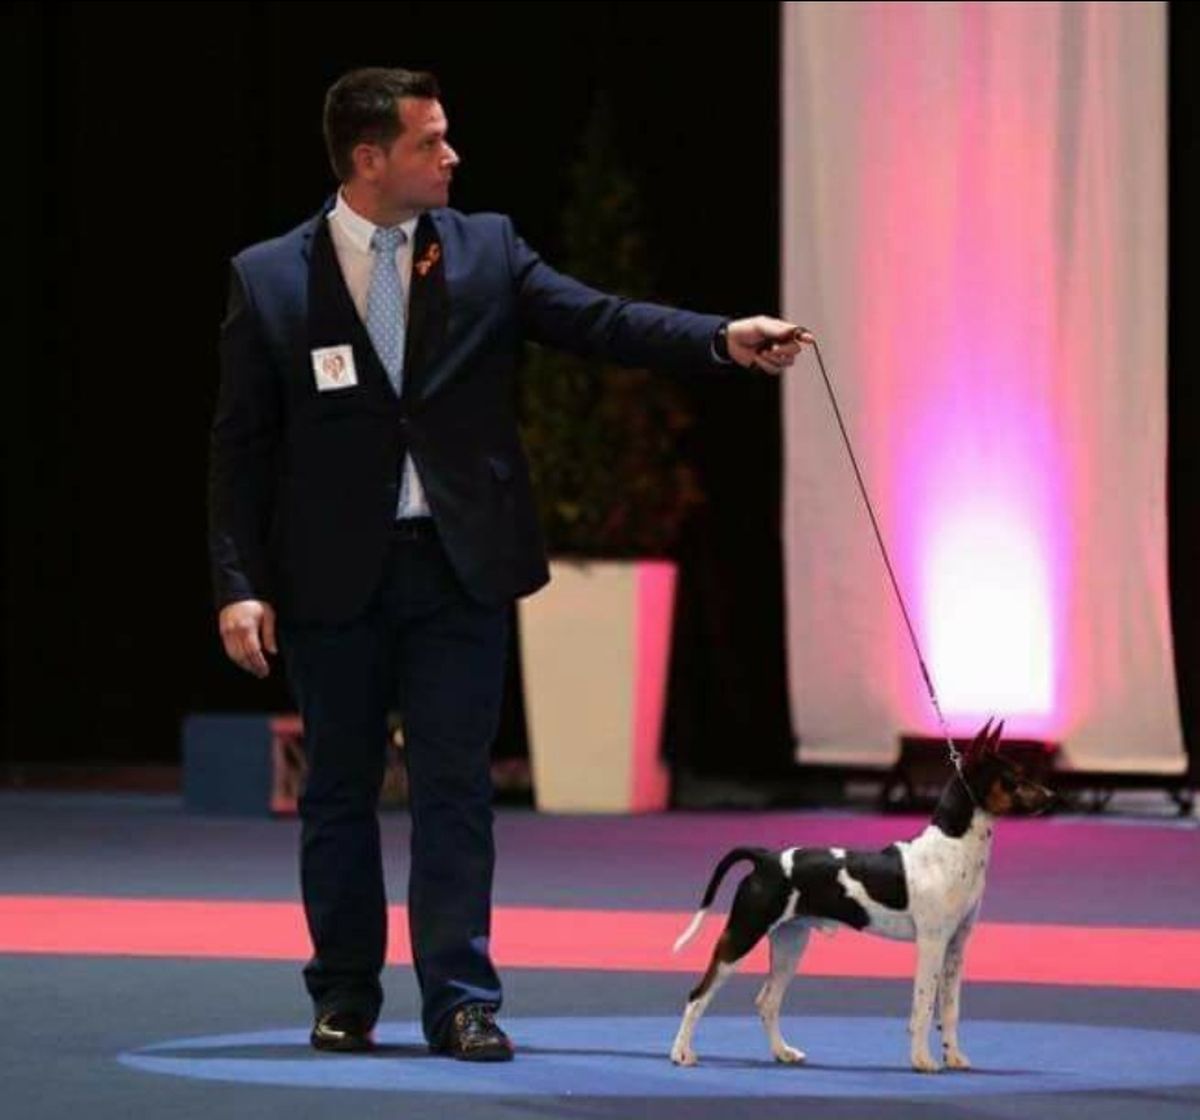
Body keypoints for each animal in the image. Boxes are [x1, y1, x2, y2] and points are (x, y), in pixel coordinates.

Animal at [672, 720, 1056, 1070]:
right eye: (1012, 776)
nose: (1052, 797)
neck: (953, 845)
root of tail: (765, 858)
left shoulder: (956, 947)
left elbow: (949, 1009)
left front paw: (954, 1057)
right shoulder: (932, 944)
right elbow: (923, 1006)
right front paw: (922, 1060)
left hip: (790, 943)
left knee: (767, 1002)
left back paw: (782, 1052)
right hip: (743, 934)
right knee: (697, 996)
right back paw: (681, 1053)